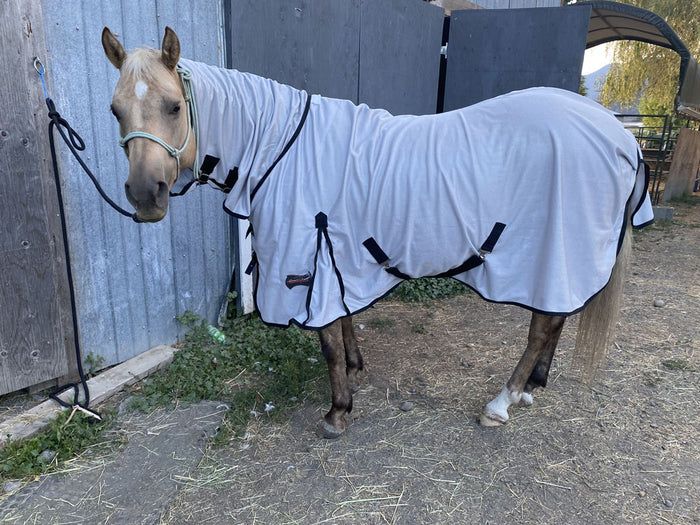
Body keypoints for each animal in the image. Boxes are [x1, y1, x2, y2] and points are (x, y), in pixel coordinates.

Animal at [101, 27, 652, 438]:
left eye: (174, 106)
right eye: (115, 110)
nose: (145, 196)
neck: (281, 145)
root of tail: (621, 136)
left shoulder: (307, 255)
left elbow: (326, 340)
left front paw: (337, 412)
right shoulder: (334, 253)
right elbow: (343, 321)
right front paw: (354, 368)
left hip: (550, 251)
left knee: (543, 324)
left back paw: (502, 401)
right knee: (554, 319)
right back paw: (532, 388)